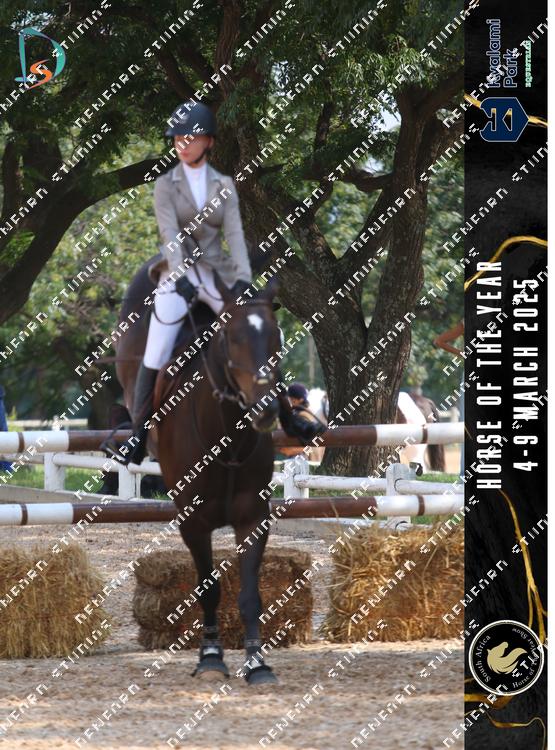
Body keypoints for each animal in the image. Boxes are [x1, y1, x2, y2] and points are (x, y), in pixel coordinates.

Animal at [114, 254, 284, 685]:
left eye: (276, 337)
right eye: (232, 338)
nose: (267, 409)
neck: (225, 434)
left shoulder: (253, 516)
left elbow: (250, 594)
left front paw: (257, 663)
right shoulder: (192, 521)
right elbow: (209, 589)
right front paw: (210, 657)